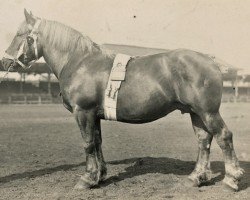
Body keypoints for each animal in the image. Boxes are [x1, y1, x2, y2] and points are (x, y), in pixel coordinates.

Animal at [1, 9, 244, 191]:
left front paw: (87, 179)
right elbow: (97, 141)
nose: (5, 62)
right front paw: (100, 176)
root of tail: (211, 61)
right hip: (195, 112)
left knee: (224, 136)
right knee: (204, 140)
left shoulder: (83, 112)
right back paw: (196, 178)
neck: (80, 61)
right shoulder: (94, 115)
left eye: (20, 34)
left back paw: (232, 180)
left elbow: (88, 143)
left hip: (208, 112)